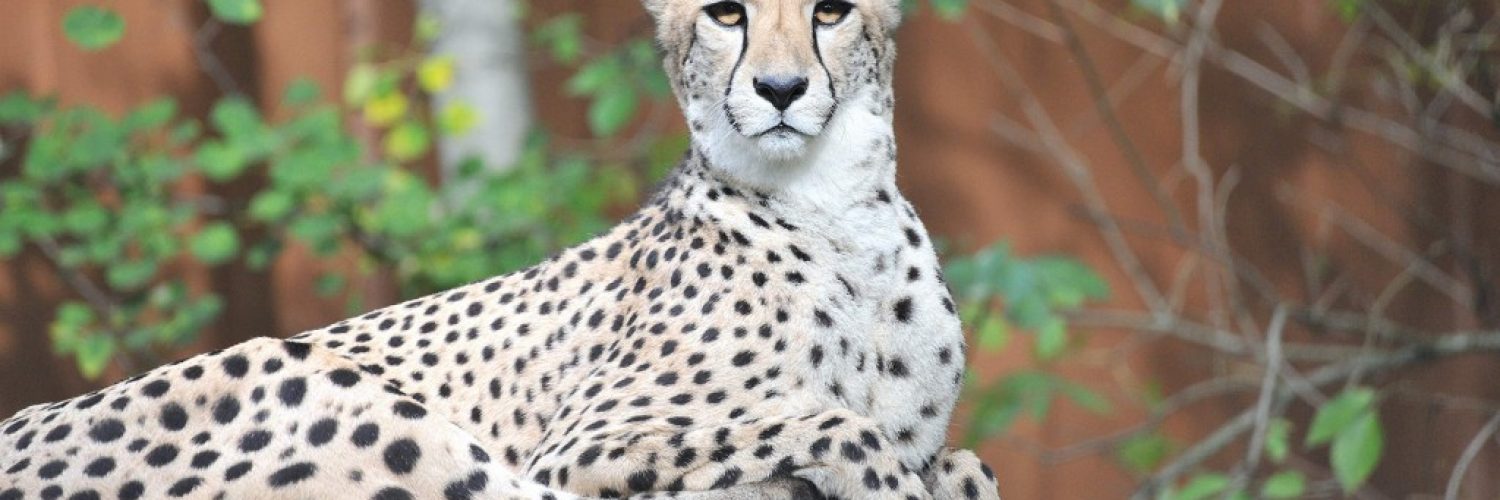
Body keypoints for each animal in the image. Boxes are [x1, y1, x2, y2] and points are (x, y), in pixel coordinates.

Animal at [2, 1, 1008, 495]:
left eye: (830, 11)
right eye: (728, 16)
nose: (781, 87)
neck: (834, 207)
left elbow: (961, 459)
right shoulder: (576, 448)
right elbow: (830, 425)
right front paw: (884, 482)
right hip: (320, 387)